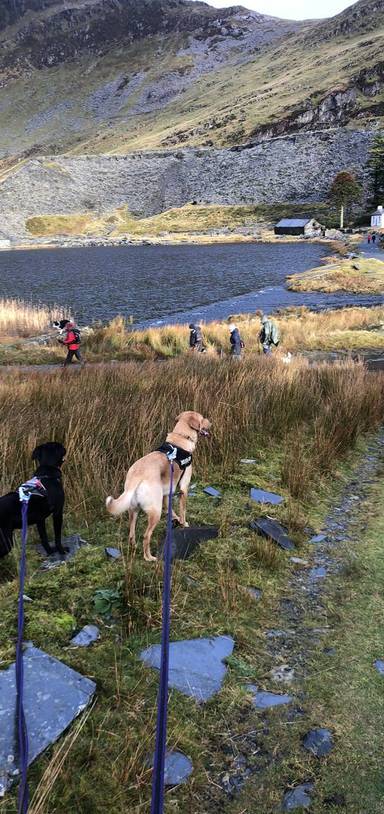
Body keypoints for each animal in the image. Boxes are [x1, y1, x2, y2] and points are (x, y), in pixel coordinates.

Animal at [106, 414, 212, 560]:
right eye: (202, 419)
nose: (210, 423)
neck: (181, 438)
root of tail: (136, 476)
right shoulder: (183, 488)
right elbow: (183, 511)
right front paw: (183, 523)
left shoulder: (167, 493)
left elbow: (170, 510)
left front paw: (176, 520)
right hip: (155, 511)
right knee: (146, 536)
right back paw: (149, 557)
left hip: (133, 510)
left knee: (131, 533)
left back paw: (134, 546)